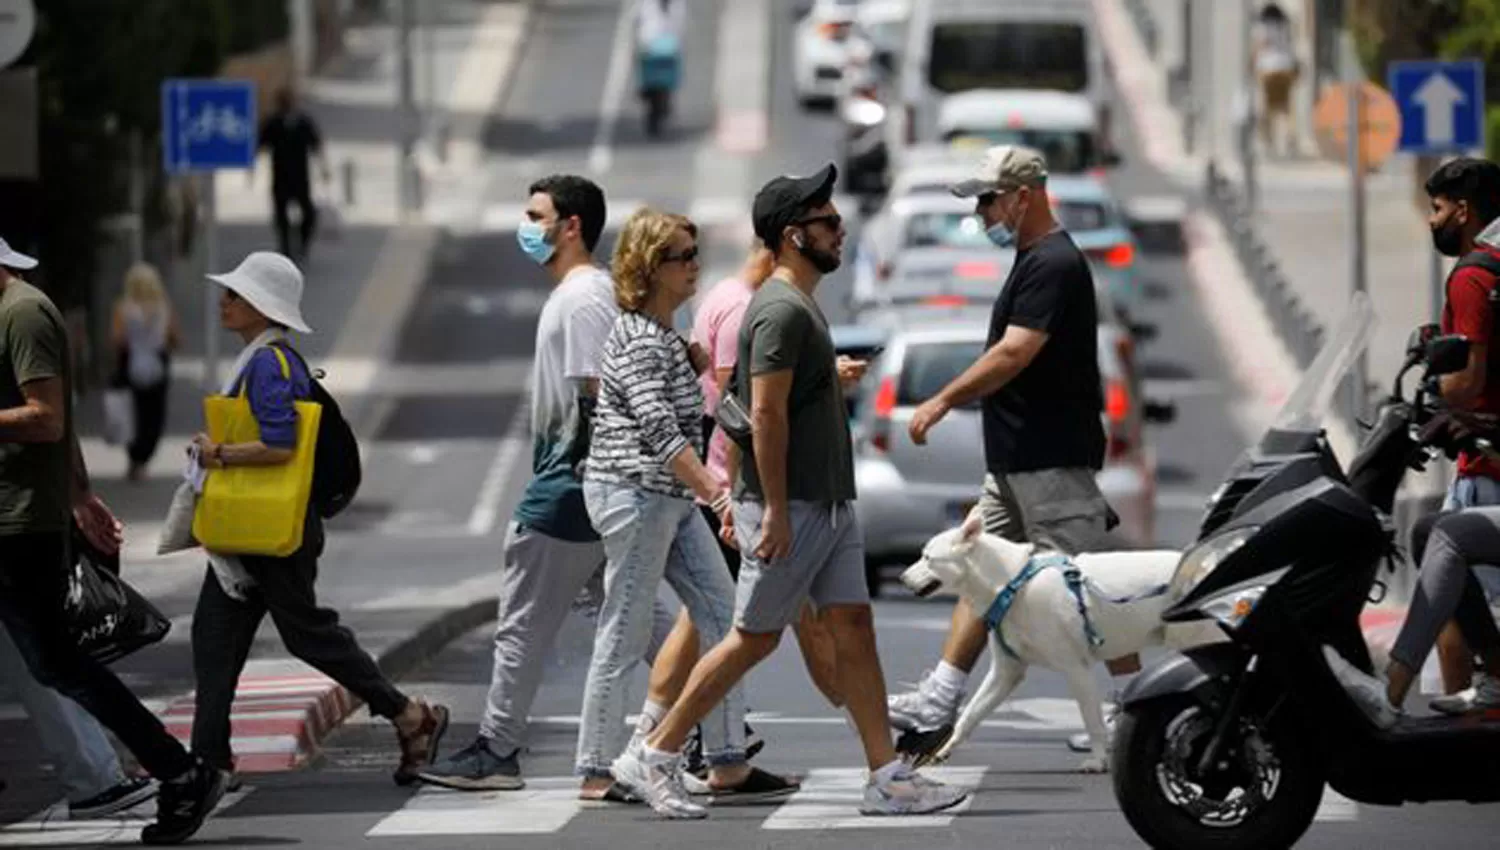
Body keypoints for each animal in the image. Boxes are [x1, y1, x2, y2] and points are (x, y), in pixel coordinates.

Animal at [894, 521, 1200, 773]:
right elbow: (970, 714)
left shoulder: (1077, 669)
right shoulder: (1006, 672)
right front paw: (943, 749)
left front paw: (1098, 760)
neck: (1013, 584)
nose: (901, 578)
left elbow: (1093, 722)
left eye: (927, 557)